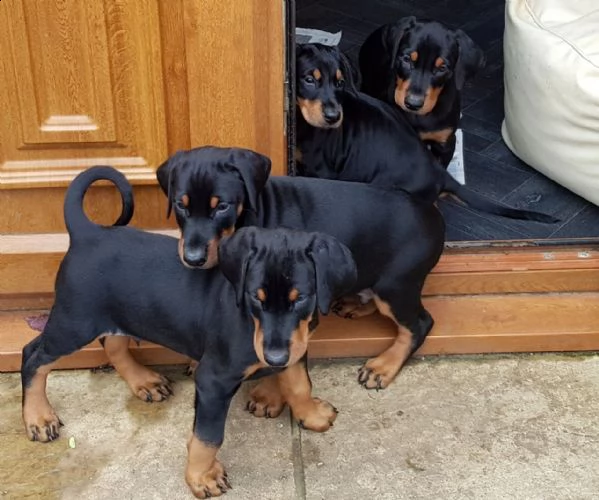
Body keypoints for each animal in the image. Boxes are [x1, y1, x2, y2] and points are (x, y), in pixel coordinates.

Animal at [23, 166, 356, 498]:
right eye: (254, 297)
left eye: (301, 298)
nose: (274, 358)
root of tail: (88, 234)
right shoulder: (213, 379)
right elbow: (208, 436)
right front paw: (200, 476)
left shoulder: (295, 347)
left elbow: (300, 384)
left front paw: (312, 414)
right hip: (75, 321)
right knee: (33, 356)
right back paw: (38, 417)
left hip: (120, 313)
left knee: (113, 344)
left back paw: (144, 381)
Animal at [148, 146, 448, 396]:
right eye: (180, 205)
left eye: (222, 206)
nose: (193, 258)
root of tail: (434, 216)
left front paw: (268, 397)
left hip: (397, 284)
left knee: (419, 323)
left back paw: (383, 366)